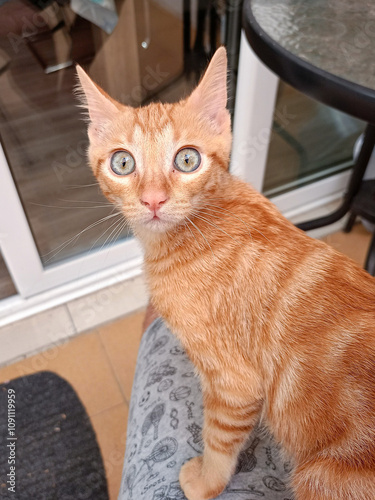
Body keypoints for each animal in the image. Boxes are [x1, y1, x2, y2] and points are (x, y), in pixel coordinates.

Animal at [76, 47, 375, 500]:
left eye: (187, 159)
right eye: (122, 163)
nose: (153, 200)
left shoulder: (234, 385)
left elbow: (218, 438)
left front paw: (205, 482)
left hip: (321, 475)